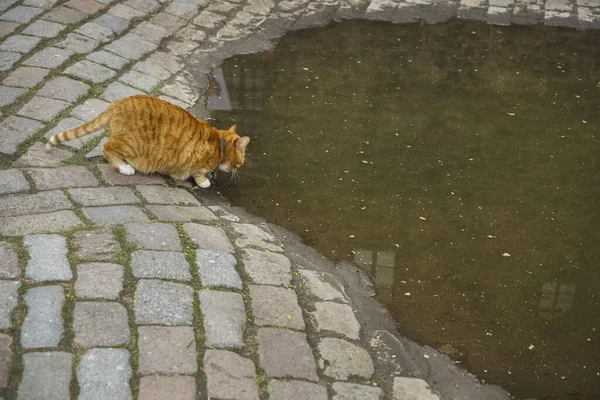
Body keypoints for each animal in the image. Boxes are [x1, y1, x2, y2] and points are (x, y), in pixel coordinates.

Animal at [45, 94, 250, 188]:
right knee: (107, 148)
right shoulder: (195, 160)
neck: (219, 144)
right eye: (240, 163)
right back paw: (124, 167)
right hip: (131, 144)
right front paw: (203, 181)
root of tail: (119, 102)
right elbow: (197, 173)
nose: (237, 171)